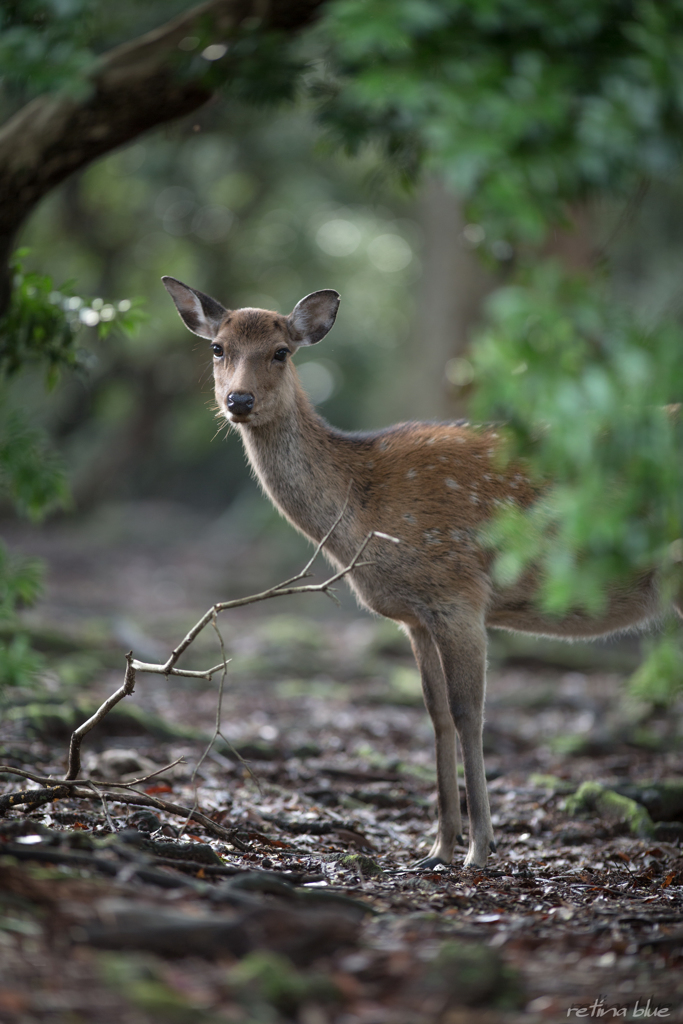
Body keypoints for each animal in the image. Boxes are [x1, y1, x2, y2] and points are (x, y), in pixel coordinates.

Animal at [162, 276, 675, 868]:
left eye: (281, 351)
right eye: (217, 348)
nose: (238, 400)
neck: (364, 515)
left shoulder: (459, 596)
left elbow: (469, 712)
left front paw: (480, 848)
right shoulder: (414, 616)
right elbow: (434, 713)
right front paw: (438, 847)